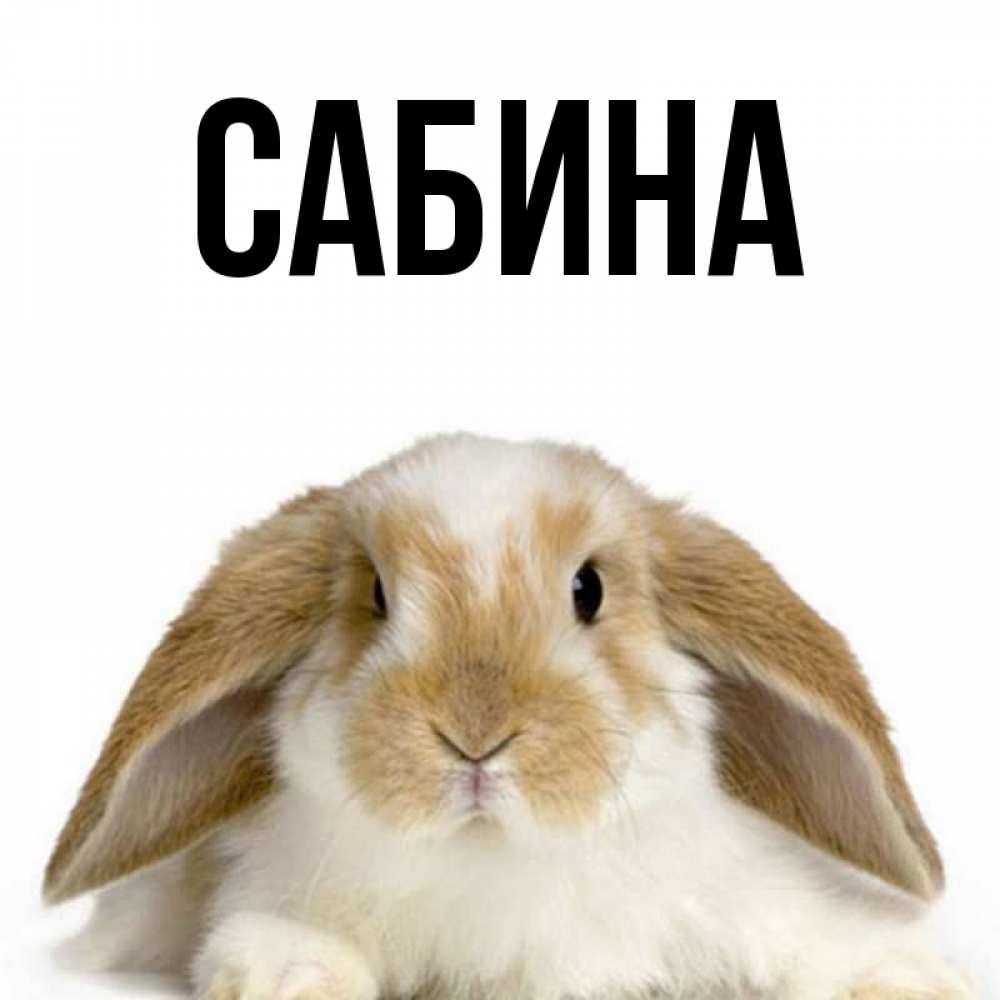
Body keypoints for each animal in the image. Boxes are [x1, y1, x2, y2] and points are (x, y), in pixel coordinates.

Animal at [45, 434, 972, 1000]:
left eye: (589, 589)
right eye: (376, 595)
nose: (475, 736)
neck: (495, 859)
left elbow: (808, 936)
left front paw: (908, 978)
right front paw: (290, 974)